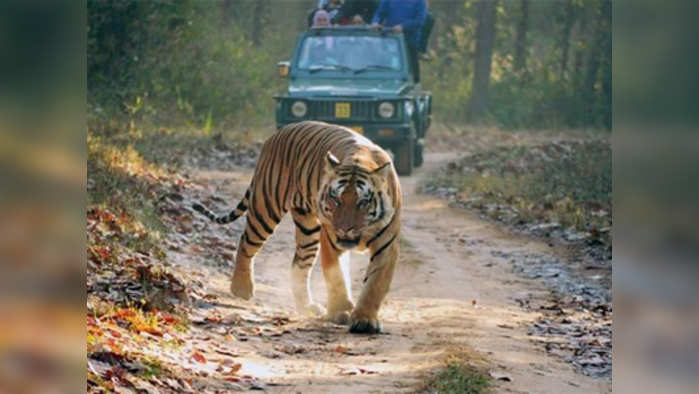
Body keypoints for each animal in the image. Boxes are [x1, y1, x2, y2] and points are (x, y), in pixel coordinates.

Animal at [193, 120, 404, 332]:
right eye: (336, 199)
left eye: (362, 202)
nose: (344, 229)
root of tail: (277, 134)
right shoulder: (330, 240)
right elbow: (336, 277)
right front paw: (340, 311)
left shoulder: (386, 246)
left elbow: (375, 284)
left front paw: (364, 320)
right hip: (266, 208)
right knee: (246, 241)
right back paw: (241, 288)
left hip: (308, 229)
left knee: (299, 264)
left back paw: (307, 306)